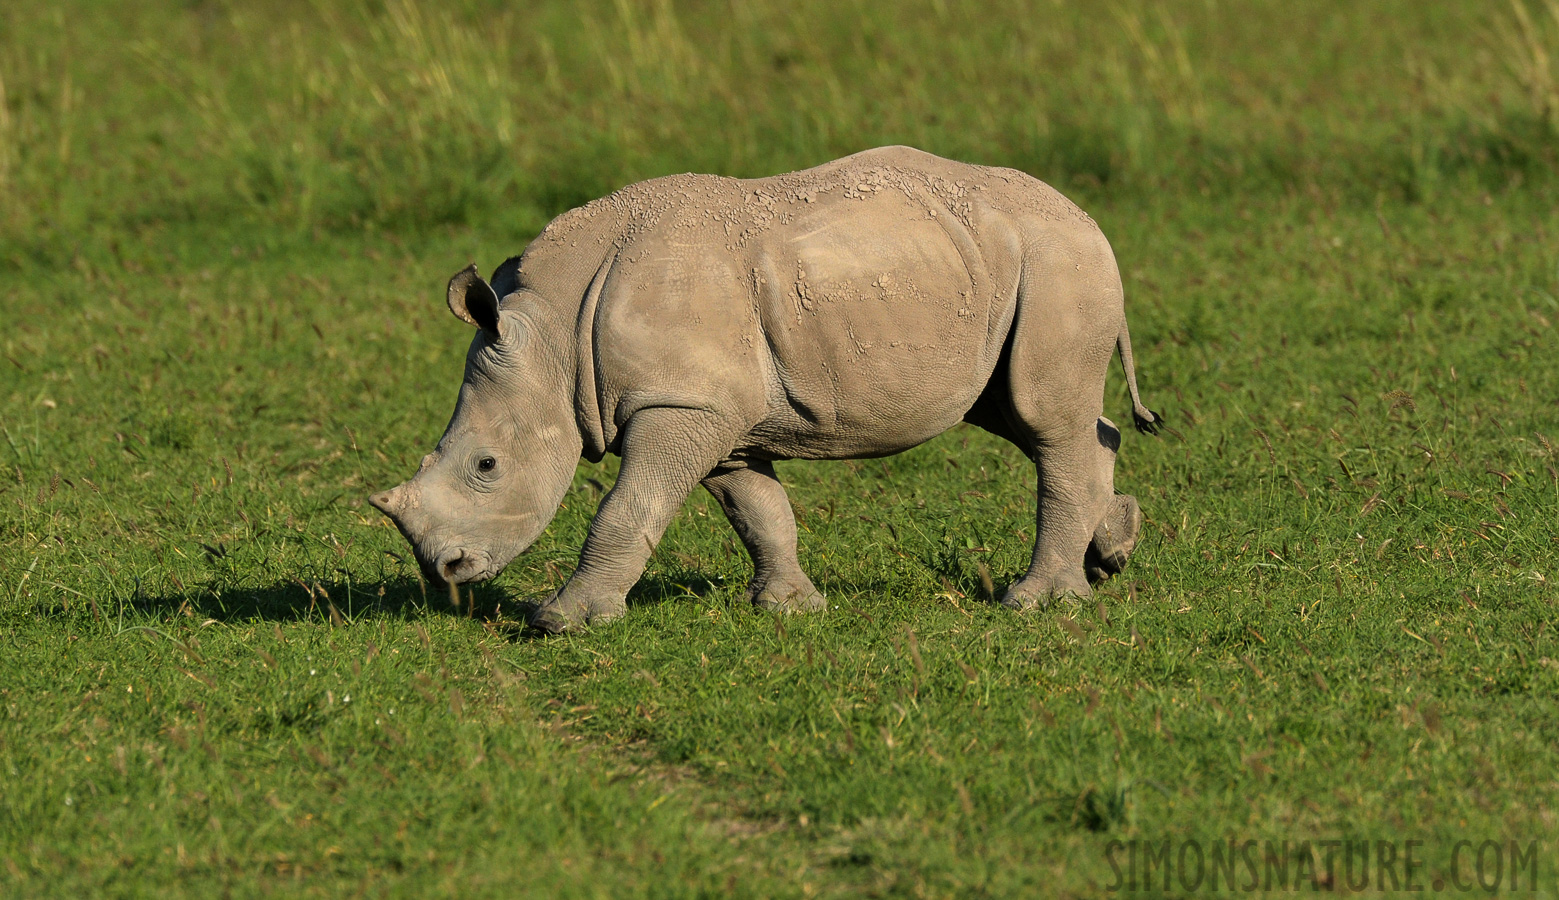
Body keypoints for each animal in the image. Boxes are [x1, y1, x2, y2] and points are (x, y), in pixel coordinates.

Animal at [371, 145, 1159, 630]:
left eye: (485, 466)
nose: (445, 571)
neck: (553, 338)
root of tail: (1085, 216)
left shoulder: (680, 402)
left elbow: (628, 508)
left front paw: (562, 621)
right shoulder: (715, 411)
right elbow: (757, 511)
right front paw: (790, 608)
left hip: (1057, 260)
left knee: (1042, 418)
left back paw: (1037, 604)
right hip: (991, 269)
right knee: (1021, 415)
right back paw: (1109, 556)